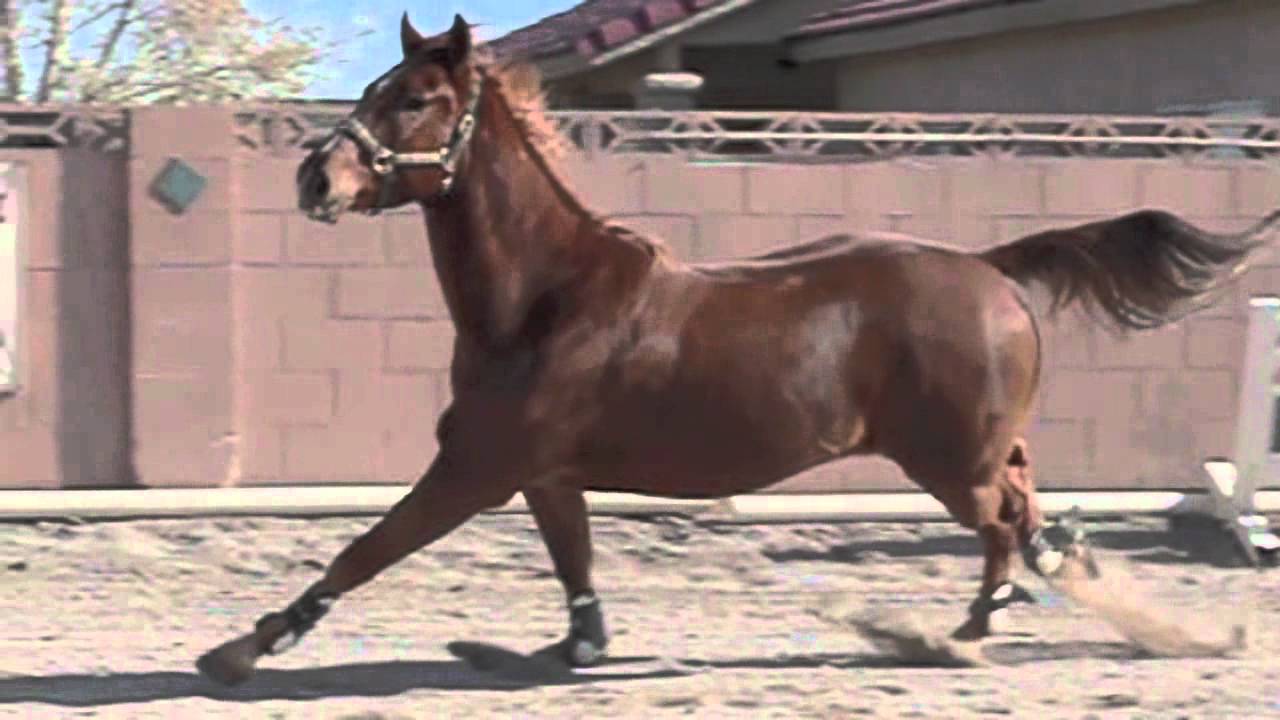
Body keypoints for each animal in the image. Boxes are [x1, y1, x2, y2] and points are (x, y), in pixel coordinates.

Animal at [196, 12, 1278, 685]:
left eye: (414, 100)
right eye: (379, 87)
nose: (315, 179)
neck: (543, 297)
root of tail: (986, 266)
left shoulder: (476, 469)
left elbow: (365, 547)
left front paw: (241, 650)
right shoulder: (544, 473)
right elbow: (573, 563)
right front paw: (573, 650)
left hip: (944, 461)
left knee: (1006, 522)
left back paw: (971, 628)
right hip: (973, 447)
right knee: (1024, 501)